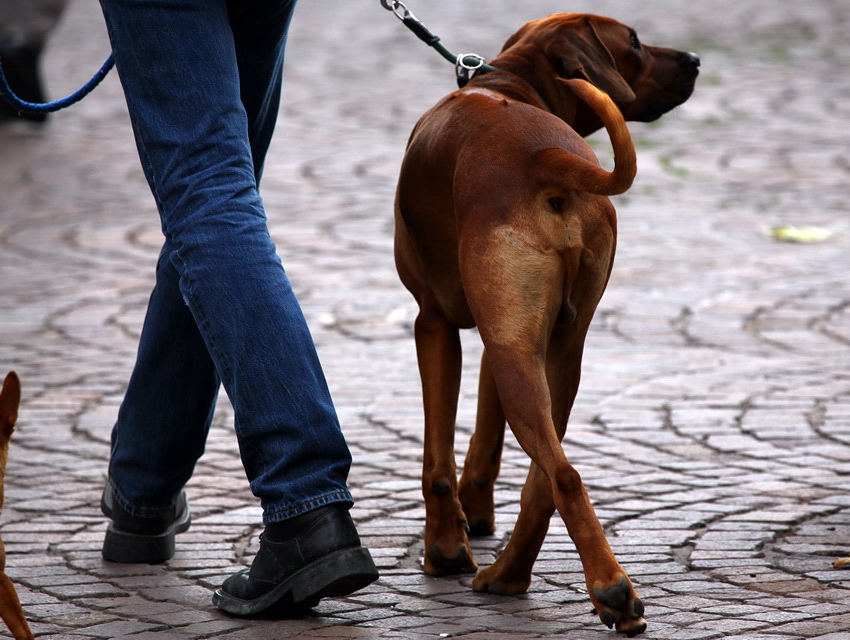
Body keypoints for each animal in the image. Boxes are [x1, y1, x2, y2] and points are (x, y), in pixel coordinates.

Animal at [394, 14, 699, 636]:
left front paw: (446, 549)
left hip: (516, 359)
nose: (696, 61)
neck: (509, 82)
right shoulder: (502, 340)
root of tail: (545, 158)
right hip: (549, 356)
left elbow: (438, 456)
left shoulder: (432, 325)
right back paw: (511, 575)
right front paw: (475, 517)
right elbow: (483, 445)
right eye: (635, 42)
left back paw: (608, 590)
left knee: (563, 476)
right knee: (545, 480)